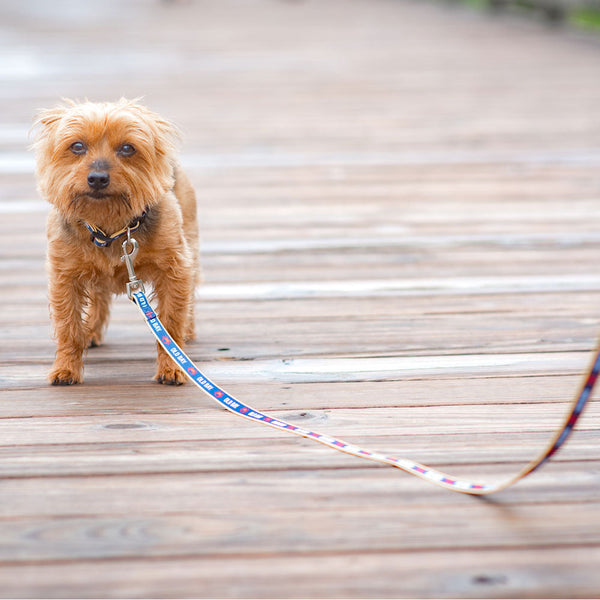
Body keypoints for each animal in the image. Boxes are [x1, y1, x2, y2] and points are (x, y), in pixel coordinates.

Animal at [33, 98, 199, 386]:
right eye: (77, 146)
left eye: (127, 148)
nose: (98, 178)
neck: (110, 228)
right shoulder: (64, 275)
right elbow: (68, 326)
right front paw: (66, 368)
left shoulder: (175, 268)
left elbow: (170, 319)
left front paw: (172, 366)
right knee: (98, 296)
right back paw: (90, 331)